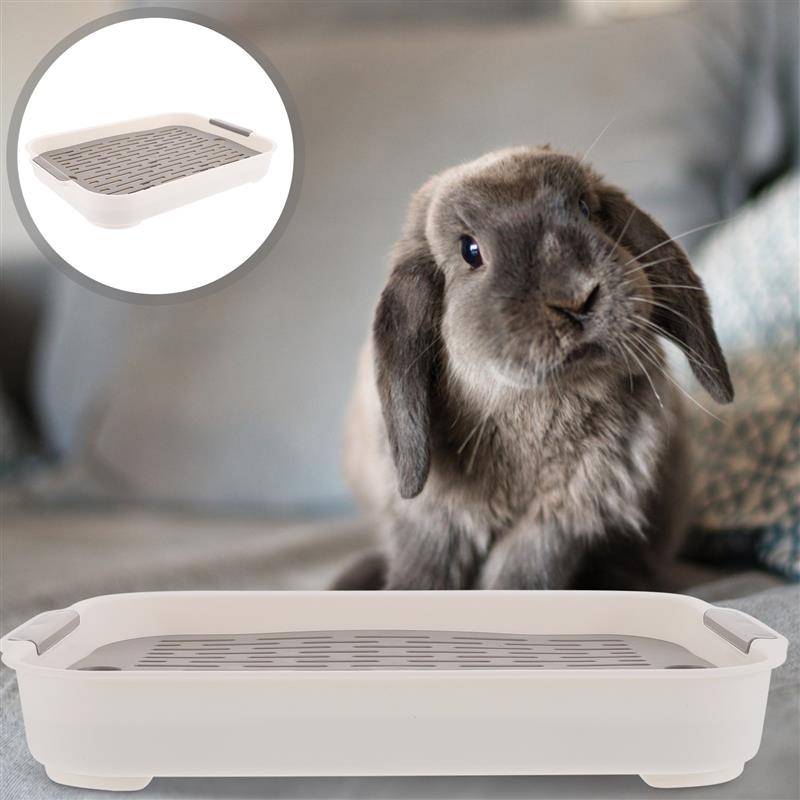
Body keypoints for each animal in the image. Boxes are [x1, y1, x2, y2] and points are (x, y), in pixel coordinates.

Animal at [334, 146, 733, 592]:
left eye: (585, 209)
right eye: (470, 251)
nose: (576, 298)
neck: (535, 405)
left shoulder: (560, 519)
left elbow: (523, 573)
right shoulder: (433, 520)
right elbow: (424, 568)